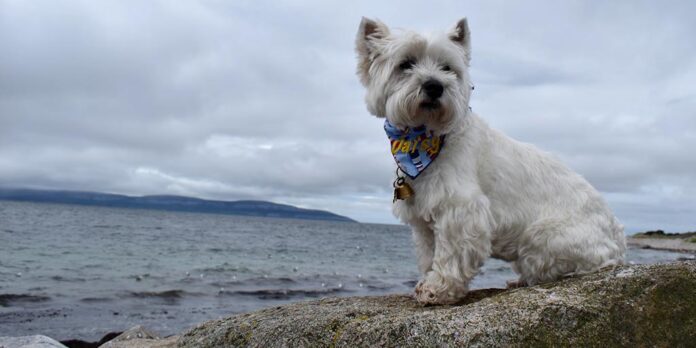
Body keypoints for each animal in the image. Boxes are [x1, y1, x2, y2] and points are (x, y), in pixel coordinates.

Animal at [354, 17, 624, 304]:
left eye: (447, 67)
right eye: (405, 64)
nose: (435, 86)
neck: (424, 140)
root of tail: (620, 239)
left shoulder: (460, 209)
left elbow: (450, 254)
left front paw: (438, 288)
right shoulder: (424, 221)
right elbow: (429, 254)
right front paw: (427, 279)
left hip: (542, 236)